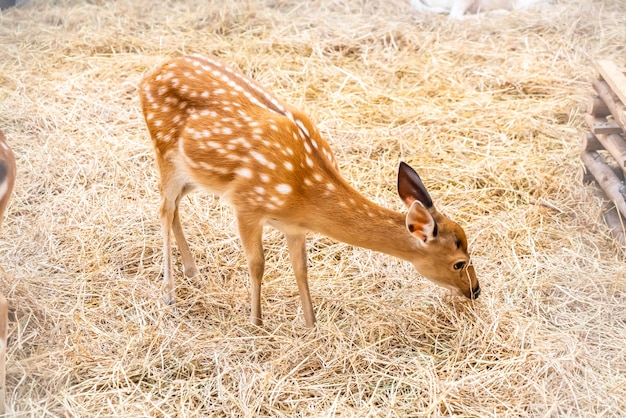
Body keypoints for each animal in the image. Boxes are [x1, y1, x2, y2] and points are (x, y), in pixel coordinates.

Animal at [138, 54, 478, 328]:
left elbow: (301, 269)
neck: (306, 194)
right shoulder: (246, 203)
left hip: (194, 174)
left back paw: (193, 273)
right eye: (459, 262)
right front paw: (256, 323)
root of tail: (147, 77)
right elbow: (257, 264)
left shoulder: (293, 226)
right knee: (164, 209)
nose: (475, 290)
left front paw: (311, 324)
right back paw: (169, 293)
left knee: (175, 207)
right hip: (164, 150)